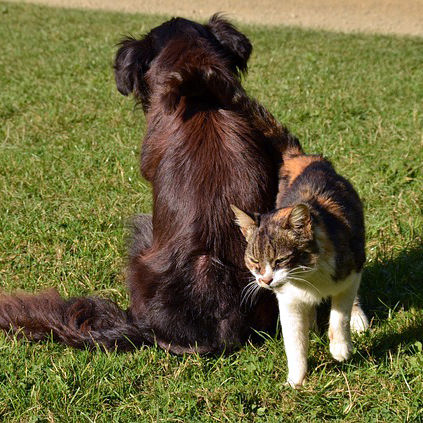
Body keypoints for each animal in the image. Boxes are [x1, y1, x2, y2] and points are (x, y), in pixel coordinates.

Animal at [234, 144, 370, 390]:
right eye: (255, 261)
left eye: (280, 260)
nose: (265, 280)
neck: (308, 276)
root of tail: (304, 158)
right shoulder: (288, 299)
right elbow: (294, 342)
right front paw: (295, 382)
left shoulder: (351, 271)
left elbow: (340, 313)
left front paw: (340, 348)